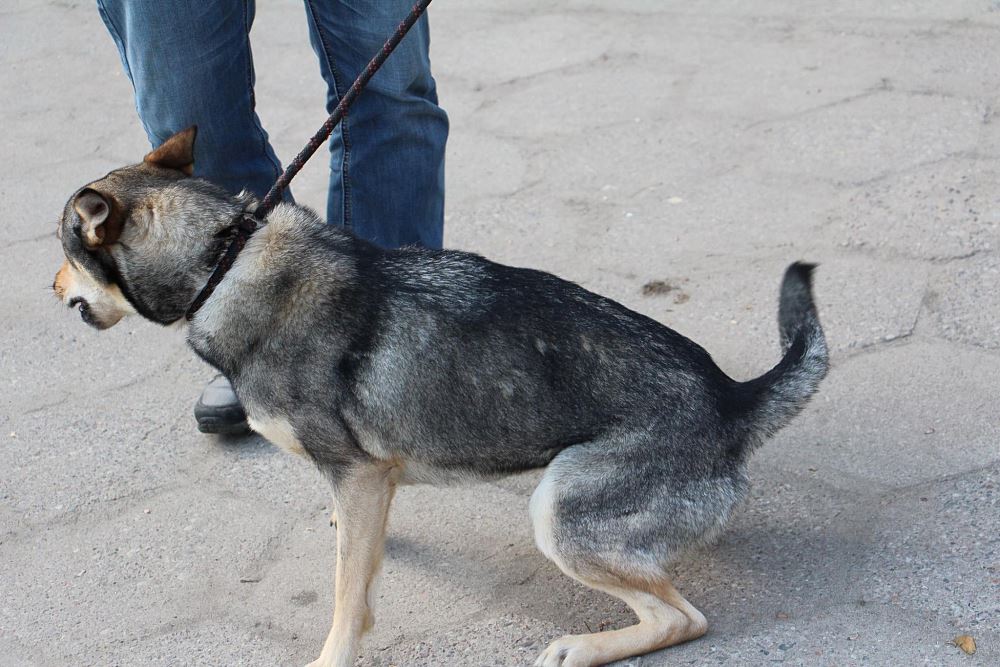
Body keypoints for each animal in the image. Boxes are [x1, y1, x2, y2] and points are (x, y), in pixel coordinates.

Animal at [53, 127, 828, 667]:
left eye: (62, 250)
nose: (51, 288)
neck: (224, 260)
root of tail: (733, 398)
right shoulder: (371, 482)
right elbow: (359, 559)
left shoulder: (357, 474)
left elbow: (346, 599)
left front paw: (334, 654)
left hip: (557, 510)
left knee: (682, 619)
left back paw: (584, 646)